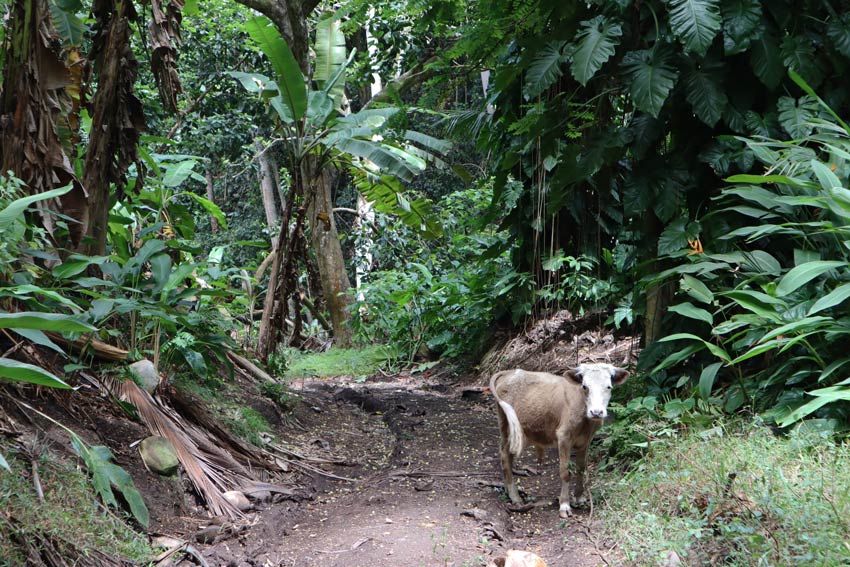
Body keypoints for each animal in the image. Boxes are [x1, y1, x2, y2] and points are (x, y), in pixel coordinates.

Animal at [490, 364, 628, 520]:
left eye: (609, 387)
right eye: (585, 386)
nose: (596, 412)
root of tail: (510, 372)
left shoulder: (586, 440)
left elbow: (581, 468)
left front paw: (578, 498)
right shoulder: (563, 437)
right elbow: (565, 471)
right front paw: (564, 505)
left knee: (508, 456)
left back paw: (508, 490)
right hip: (506, 425)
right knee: (504, 455)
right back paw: (515, 497)